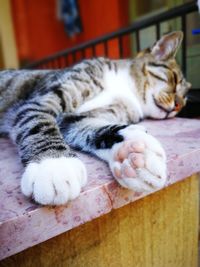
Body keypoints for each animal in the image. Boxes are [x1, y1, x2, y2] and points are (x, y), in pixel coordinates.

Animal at [0, 31, 191, 207]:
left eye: (185, 100)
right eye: (174, 79)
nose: (177, 106)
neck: (126, 87)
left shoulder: (73, 119)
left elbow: (91, 128)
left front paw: (130, 151)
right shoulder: (47, 96)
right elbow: (38, 120)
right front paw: (53, 165)